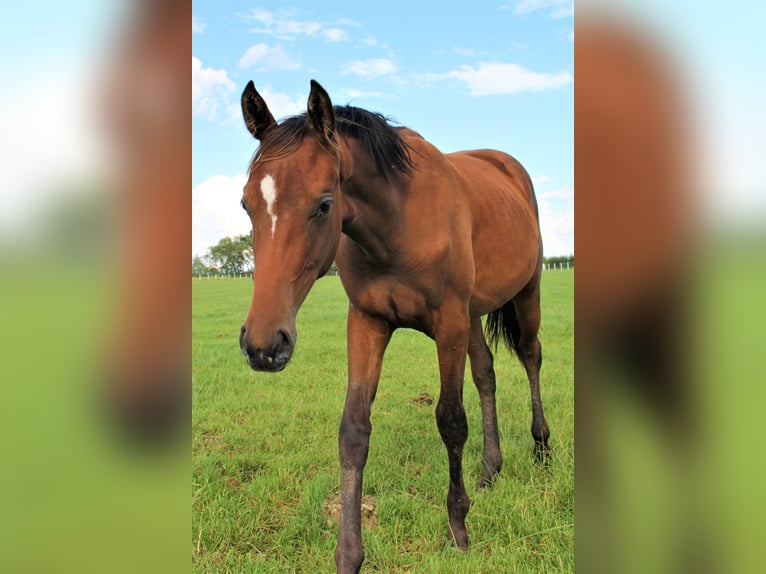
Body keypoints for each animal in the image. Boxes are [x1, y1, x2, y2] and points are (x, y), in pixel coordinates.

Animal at [240, 81, 552, 574]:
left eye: (324, 205)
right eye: (246, 203)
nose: (263, 345)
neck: (395, 226)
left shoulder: (448, 323)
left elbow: (451, 420)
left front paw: (458, 529)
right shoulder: (368, 322)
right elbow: (353, 431)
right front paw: (348, 554)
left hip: (526, 292)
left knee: (530, 355)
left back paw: (541, 449)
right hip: (474, 314)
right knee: (486, 374)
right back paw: (490, 469)